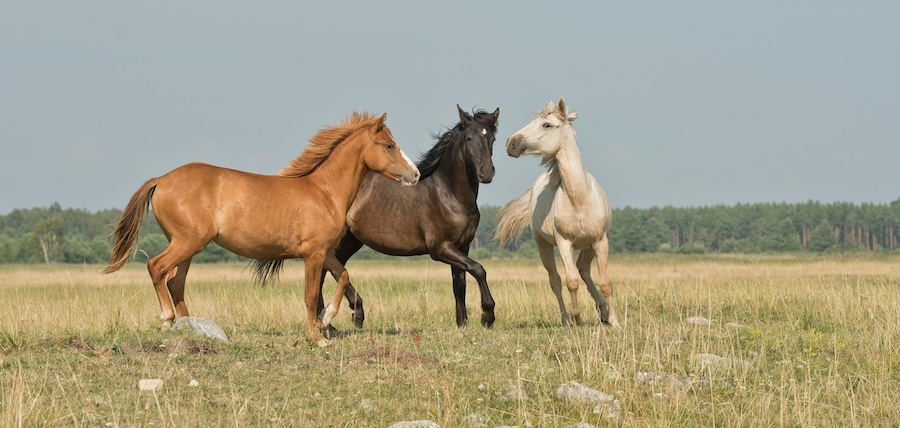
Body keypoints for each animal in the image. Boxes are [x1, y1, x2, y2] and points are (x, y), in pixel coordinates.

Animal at [103, 112, 421, 344]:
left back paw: (192, 327)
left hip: (187, 246)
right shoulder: (313, 255)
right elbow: (309, 295)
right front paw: (316, 337)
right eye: (389, 145)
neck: (324, 192)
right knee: (156, 268)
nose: (415, 174)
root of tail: (162, 179)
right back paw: (167, 320)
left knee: (175, 282)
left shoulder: (324, 252)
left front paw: (327, 320)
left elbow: (343, 276)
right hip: (187, 242)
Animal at [308, 105, 500, 329]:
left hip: (351, 240)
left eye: (492, 139)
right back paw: (336, 319)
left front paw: (462, 324)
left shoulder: (462, 246)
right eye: (468, 138)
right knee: (325, 272)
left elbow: (459, 285)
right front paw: (487, 316)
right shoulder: (440, 248)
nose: (486, 172)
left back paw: (339, 319)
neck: (450, 194)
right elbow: (478, 269)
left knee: (332, 270)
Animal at [495, 98, 619, 327]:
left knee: (584, 269)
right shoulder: (564, 243)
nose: (511, 143)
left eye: (547, 125)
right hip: (543, 246)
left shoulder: (600, 241)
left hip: (588, 246)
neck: (579, 199)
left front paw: (615, 322)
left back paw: (603, 312)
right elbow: (570, 281)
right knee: (556, 281)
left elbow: (606, 282)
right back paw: (566, 319)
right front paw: (577, 319)